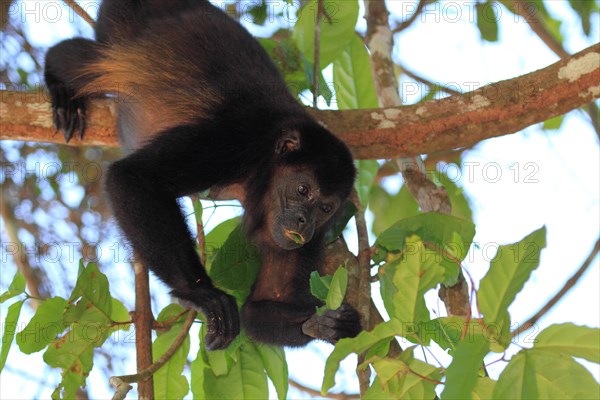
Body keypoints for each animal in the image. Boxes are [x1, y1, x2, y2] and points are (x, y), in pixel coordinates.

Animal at [45, 0, 360, 350]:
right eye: (303, 189)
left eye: (326, 208)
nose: (306, 222)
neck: (265, 166)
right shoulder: (232, 142)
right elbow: (132, 178)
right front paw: (203, 294)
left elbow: (262, 305)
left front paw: (326, 323)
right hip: (123, 20)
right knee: (94, 60)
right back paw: (61, 81)